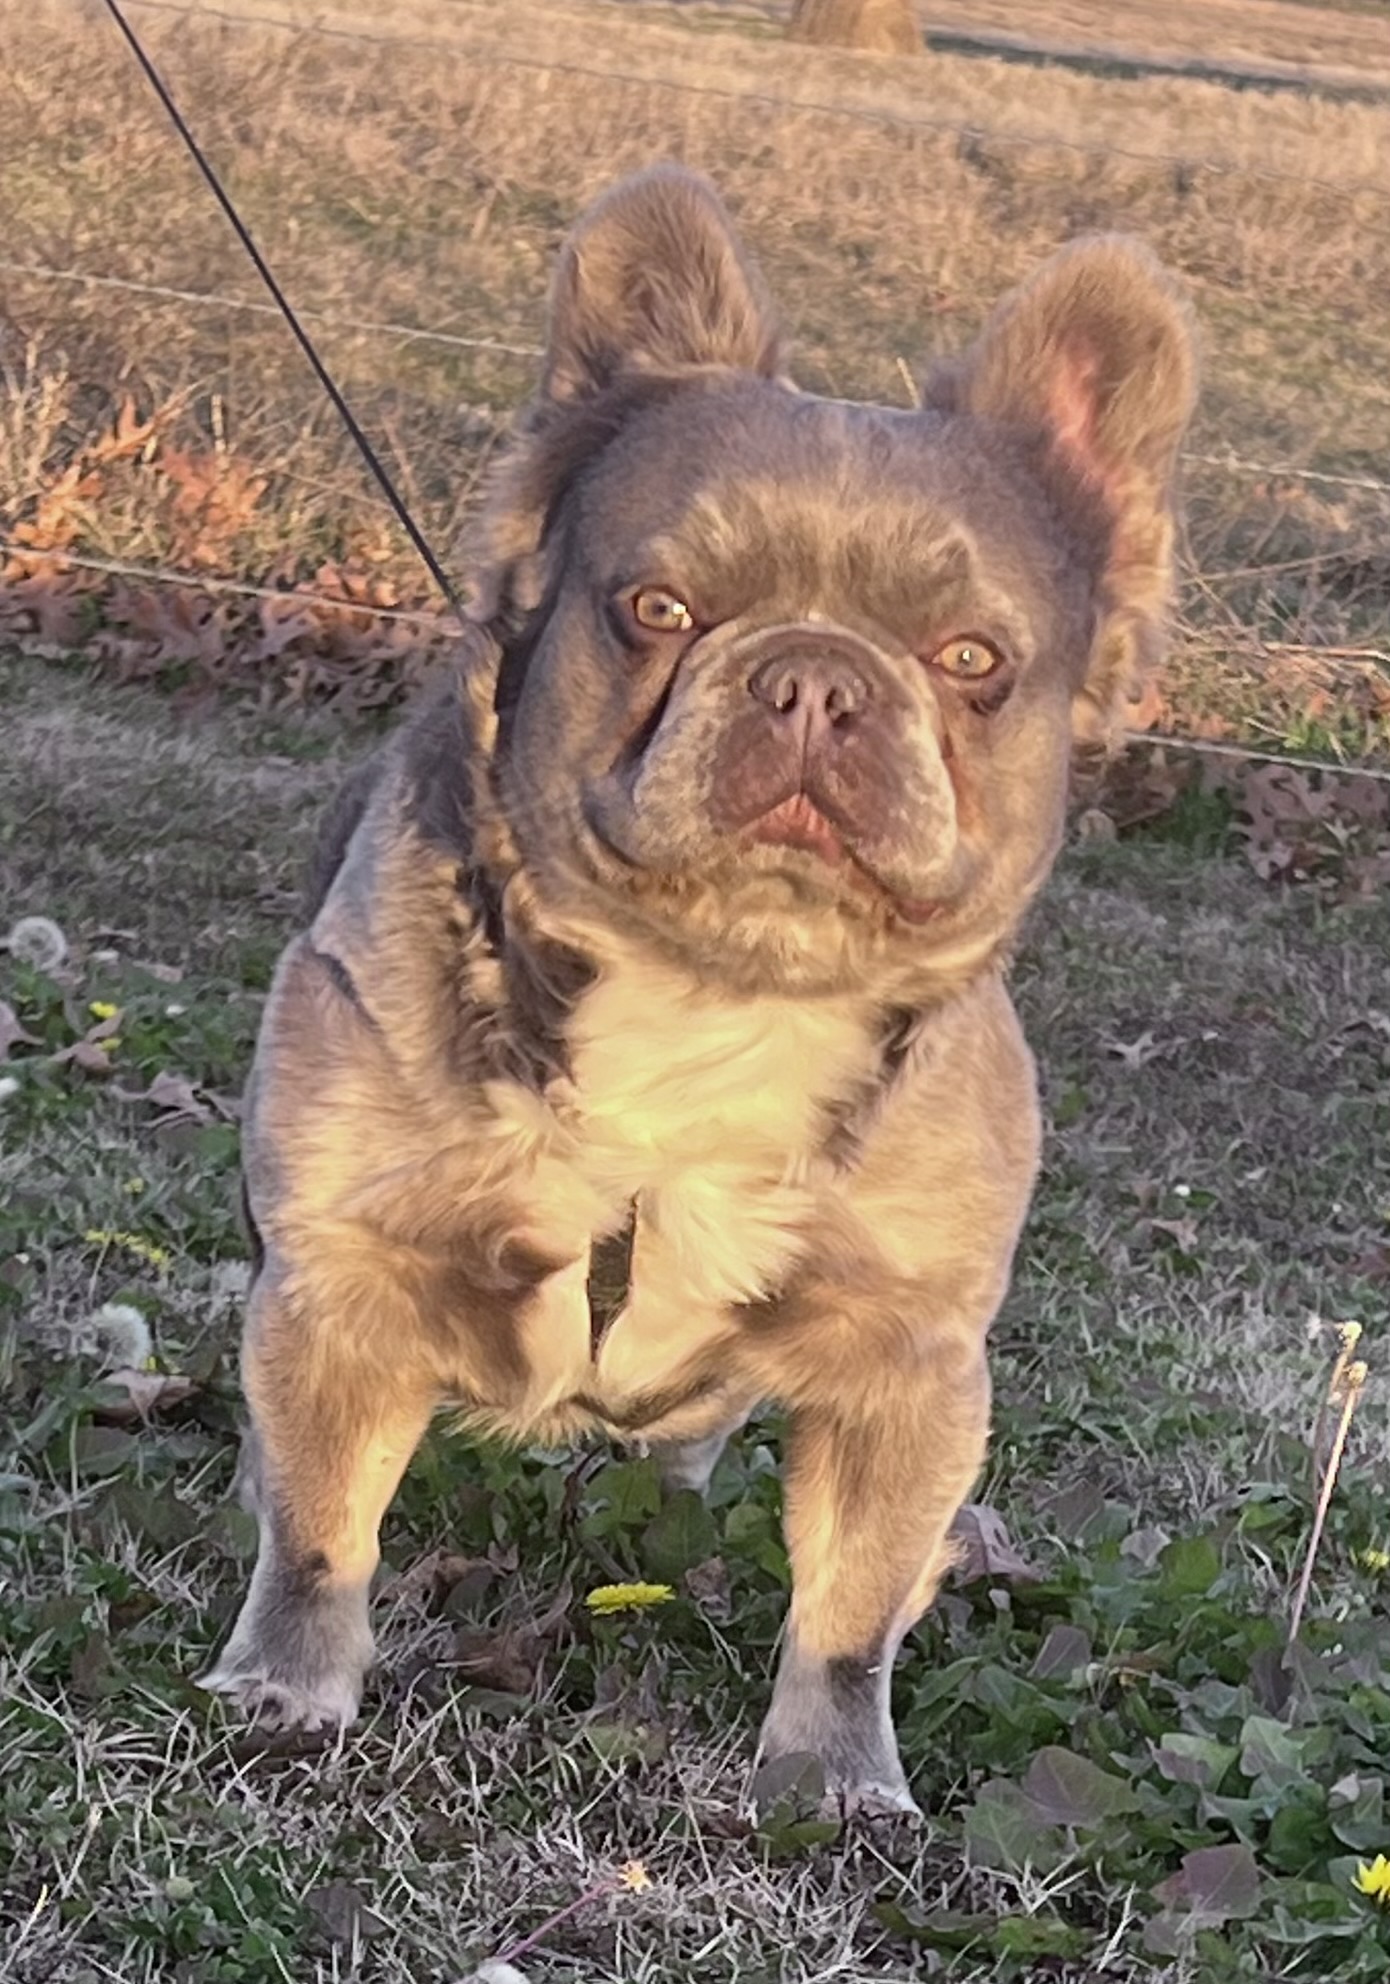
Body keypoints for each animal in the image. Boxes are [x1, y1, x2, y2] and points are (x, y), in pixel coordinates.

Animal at [203, 166, 1189, 1817]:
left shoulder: (904, 1366)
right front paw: (286, 1686)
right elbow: (323, 1524)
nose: (812, 677)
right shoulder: (344, 1275)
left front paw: (833, 1777)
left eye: (971, 659)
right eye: (658, 609)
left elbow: (855, 1601)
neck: (715, 991)